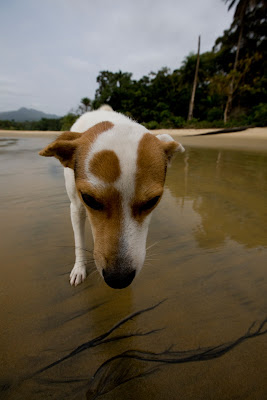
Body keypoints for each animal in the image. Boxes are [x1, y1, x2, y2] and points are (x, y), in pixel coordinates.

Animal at [39, 106, 185, 288]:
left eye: (152, 201)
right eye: (89, 199)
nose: (118, 280)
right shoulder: (77, 207)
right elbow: (79, 241)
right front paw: (79, 268)